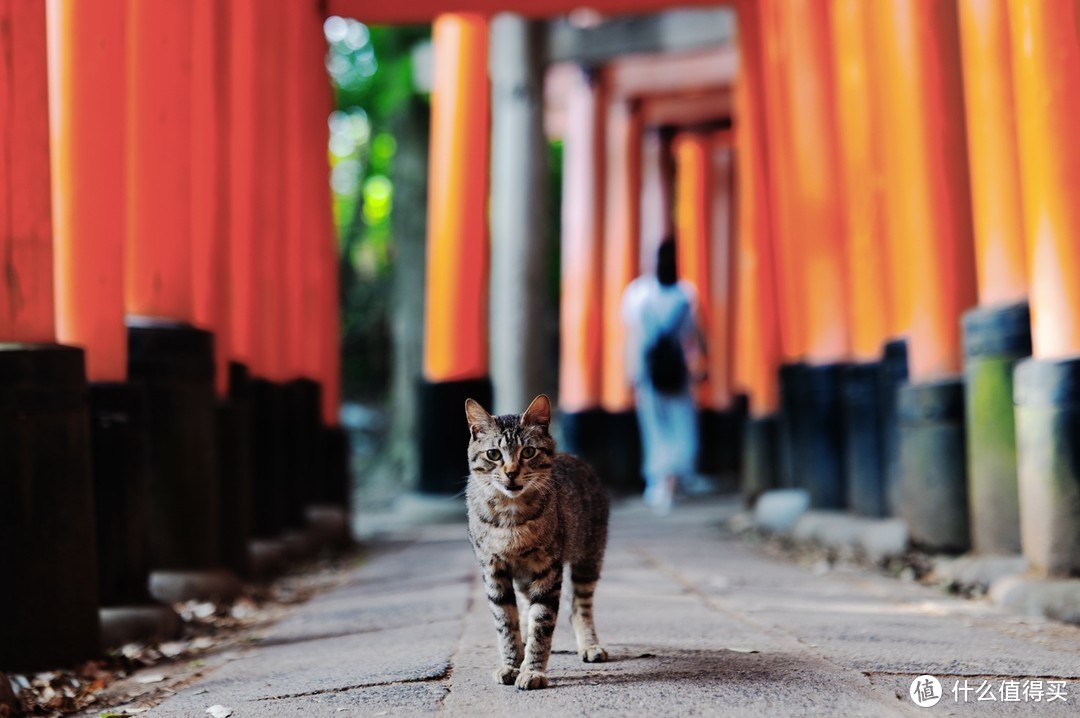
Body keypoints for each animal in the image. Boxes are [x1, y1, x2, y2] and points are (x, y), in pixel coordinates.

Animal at [462, 393, 609, 691]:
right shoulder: (493, 570)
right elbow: (506, 622)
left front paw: (532, 671)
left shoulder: (547, 569)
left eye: (528, 452)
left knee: (579, 607)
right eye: (493, 454)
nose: (511, 472)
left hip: (589, 559)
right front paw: (511, 664)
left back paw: (589, 645)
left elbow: (542, 621)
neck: (510, 515)